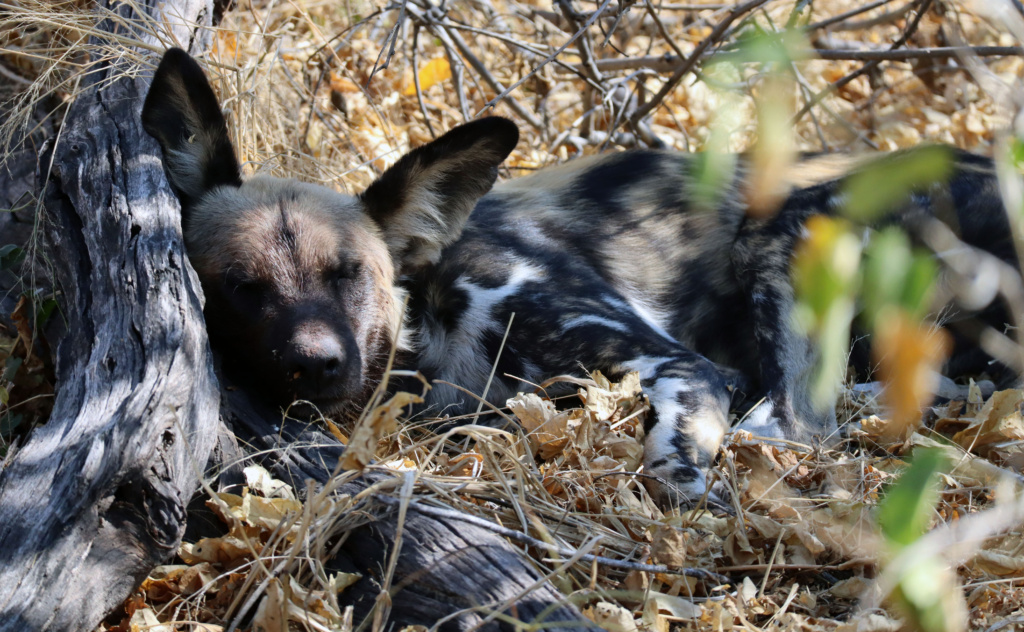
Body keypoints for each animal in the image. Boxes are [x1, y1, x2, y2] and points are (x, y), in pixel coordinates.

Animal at [142, 48, 1015, 501]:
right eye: (240, 288)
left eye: (348, 273)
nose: (316, 364)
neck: (436, 324)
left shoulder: (680, 364)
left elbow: (673, 461)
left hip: (795, 227)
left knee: (801, 422)